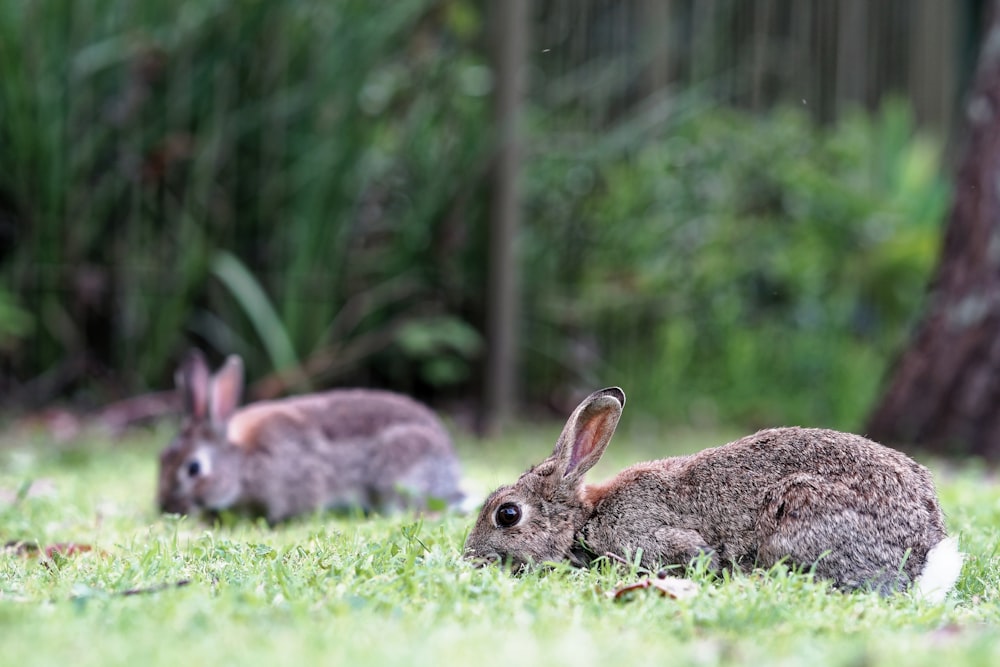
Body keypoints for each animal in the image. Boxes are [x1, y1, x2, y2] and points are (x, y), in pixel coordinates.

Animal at [464, 386, 964, 600]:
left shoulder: (652, 538)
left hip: (799, 513)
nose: (470, 557)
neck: (585, 518)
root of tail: (925, 555)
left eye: (507, 515)